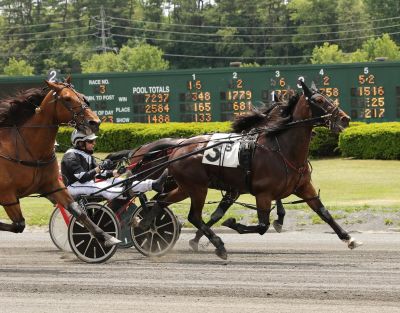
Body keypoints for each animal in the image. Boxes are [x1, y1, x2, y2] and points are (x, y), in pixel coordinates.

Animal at [0, 77, 119, 246]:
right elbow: (19, 225)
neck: (29, 150)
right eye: (67, 98)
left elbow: (77, 209)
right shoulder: (7, 195)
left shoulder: (52, 186)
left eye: (82, 97)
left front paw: (106, 237)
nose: (95, 122)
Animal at [143, 80, 360, 258]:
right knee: (193, 216)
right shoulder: (262, 193)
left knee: (162, 201)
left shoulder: (303, 186)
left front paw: (348, 238)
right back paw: (218, 245)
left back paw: (147, 225)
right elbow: (262, 226)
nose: (345, 118)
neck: (282, 149)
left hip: (185, 187)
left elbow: (323, 211)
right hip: (197, 188)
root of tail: (177, 148)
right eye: (319, 100)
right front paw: (232, 224)